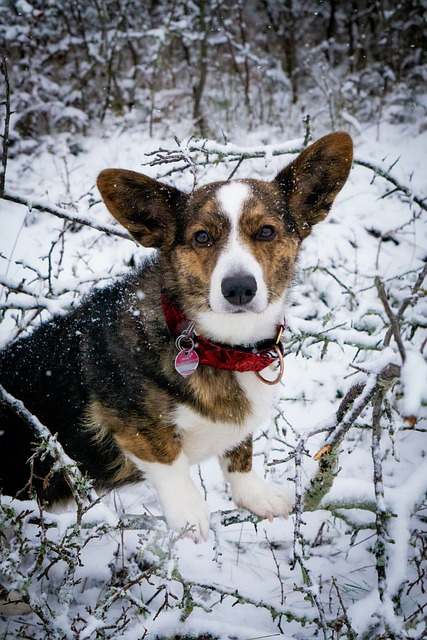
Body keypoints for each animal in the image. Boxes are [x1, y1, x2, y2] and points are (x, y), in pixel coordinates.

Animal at [0, 132, 354, 544]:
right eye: (201, 237)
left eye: (266, 231)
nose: (238, 289)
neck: (220, 345)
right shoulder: (133, 427)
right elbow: (171, 464)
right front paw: (190, 518)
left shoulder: (238, 431)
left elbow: (240, 453)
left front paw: (257, 496)